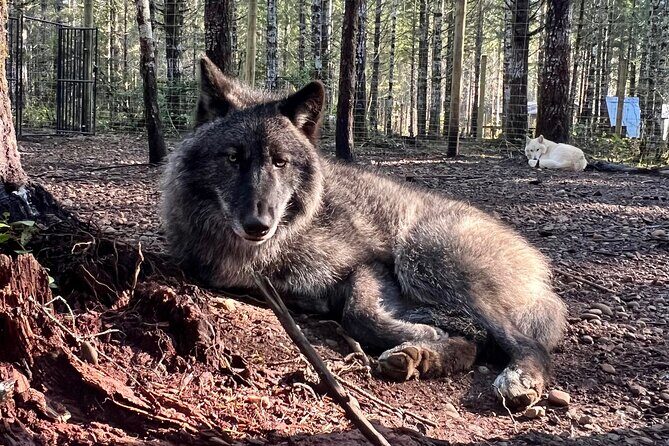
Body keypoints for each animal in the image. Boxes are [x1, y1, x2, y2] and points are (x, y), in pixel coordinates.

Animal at [161, 57, 567, 410]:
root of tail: (536, 263)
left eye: (280, 162)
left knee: (524, 343)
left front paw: (425, 336)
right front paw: (427, 341)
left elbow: (359, 313)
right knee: (478, 340)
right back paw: (420, 356)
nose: (258, 225)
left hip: (423, 257)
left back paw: (515, 377)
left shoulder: (369, 265)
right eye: (233, 158)